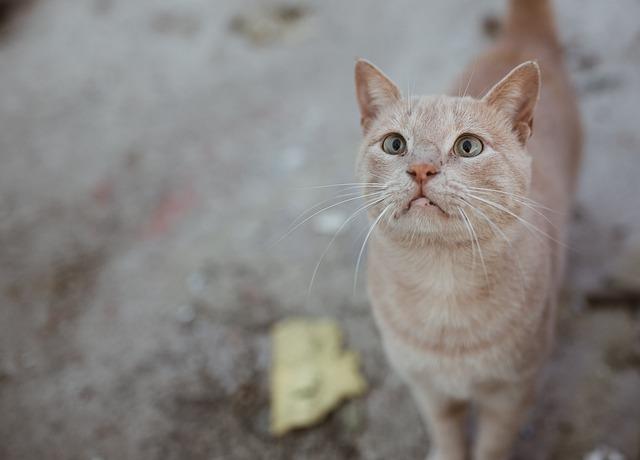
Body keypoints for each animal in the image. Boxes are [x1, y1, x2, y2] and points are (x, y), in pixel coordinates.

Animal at [352, 0, 584, 460]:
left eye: (468, 146)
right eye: (394, 144)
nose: (422, 168)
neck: (444, 283)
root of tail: (520, 38)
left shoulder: (511, 395)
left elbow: (491, 445)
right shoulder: (428, 390)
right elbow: (446, 434)